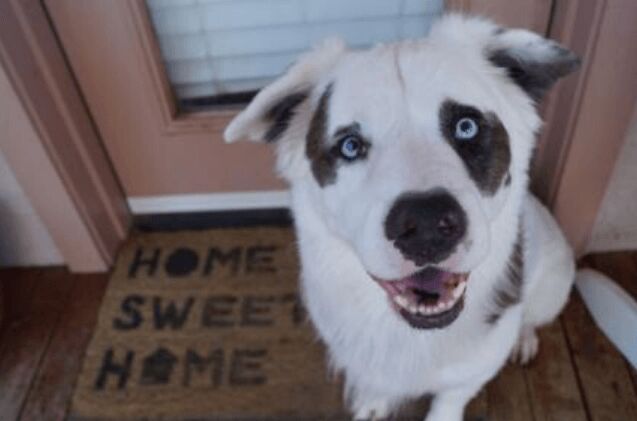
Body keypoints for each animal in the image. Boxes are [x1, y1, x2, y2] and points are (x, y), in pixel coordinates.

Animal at [226, 14, 580, 418]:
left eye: (467, 127)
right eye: (350, 146)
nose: (426, 225)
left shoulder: (473, 370)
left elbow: (450, 398)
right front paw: (373, 401)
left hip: (555, 281)